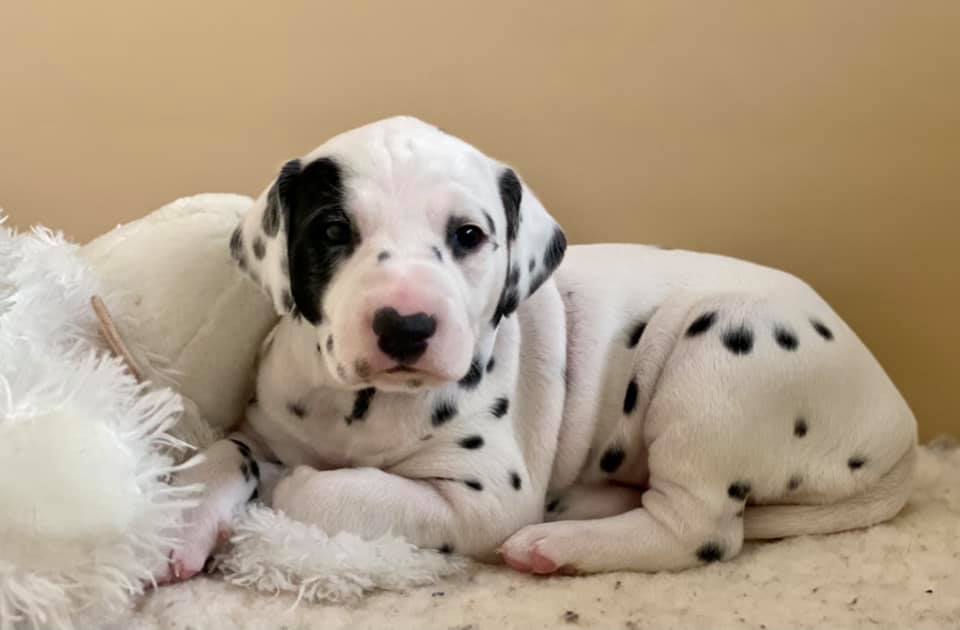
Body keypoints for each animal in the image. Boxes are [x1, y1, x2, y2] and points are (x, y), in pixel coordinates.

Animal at [161, 115, 920, 584]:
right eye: (330, 230)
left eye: (468, 235)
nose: (405, 326)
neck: (363, 407)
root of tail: (902, 431)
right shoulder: (266, 425)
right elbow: (224, 453)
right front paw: (182, 522)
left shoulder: (481, 498)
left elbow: (333, 490)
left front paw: (288, 487)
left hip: (716, 364)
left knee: (696, 530)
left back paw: (558, 545)